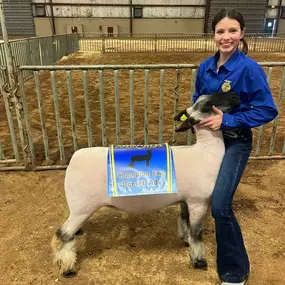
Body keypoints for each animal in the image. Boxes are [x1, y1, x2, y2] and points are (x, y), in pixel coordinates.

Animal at [51, 90, 240, 276]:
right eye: (207, 105)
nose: (236, 96)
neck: (205, 152)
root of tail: (73, 161)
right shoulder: (198, 201)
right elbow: (196, 232)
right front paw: (199, 261)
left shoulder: (186, 200)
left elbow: (184, 221)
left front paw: (185, 241)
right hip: (83, 207)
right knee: (63, 233)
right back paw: (67, 268)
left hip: (78, 207)